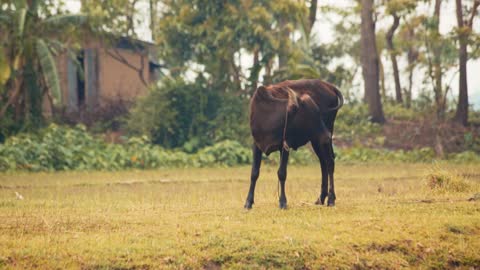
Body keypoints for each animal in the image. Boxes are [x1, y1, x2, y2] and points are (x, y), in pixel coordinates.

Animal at [246, 78, 344, 209]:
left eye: (317, 112)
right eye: (308, 114)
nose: (328, 135)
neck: (268, 116)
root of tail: (328, 86)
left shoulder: (285, 146)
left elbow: (282, 173)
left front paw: (283, 202)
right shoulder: (256, 145)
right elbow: (254, 173)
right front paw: (248, 202)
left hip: (321, 139)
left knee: (329, 162)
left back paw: (331, 199)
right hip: (317, 140)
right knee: (323, 163)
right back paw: (321, 198)